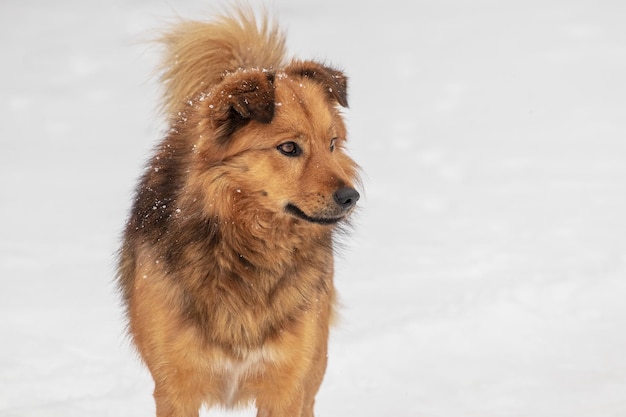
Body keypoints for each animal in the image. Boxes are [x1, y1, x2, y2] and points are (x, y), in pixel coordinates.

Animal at [116, 6, 358, 416]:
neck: (245, 252)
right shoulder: (174, 388)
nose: (350, 197)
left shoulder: (286, 386)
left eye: (332, 144)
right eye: (289, 148)